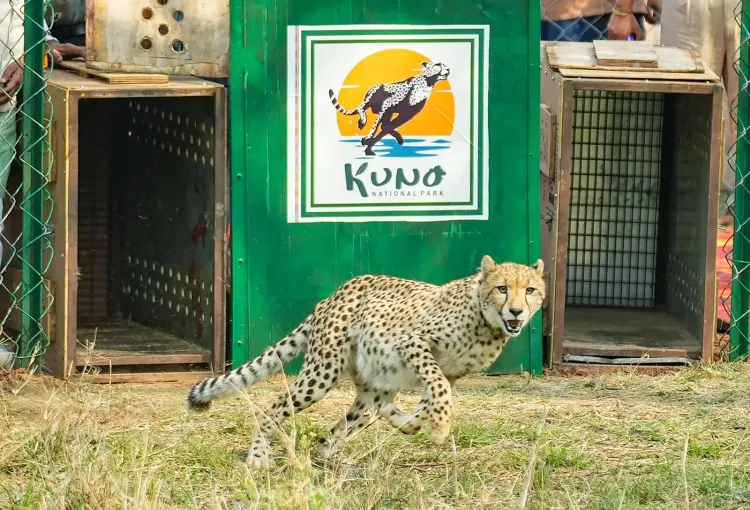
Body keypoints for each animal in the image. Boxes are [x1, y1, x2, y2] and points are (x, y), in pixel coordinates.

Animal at [186, 255, 545, 468]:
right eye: (502, 288)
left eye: (530, 290)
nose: (516, 311)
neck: (486, 324)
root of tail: (335, 293)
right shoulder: (413, 343)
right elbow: (438, 390)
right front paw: (441, 427)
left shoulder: (450, 372)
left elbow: (428, 402)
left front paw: (408, 420)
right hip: (321, 374)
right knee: (274, 407)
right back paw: (259, 457)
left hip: (371, 385)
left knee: (343, 426)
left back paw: (334, 458)